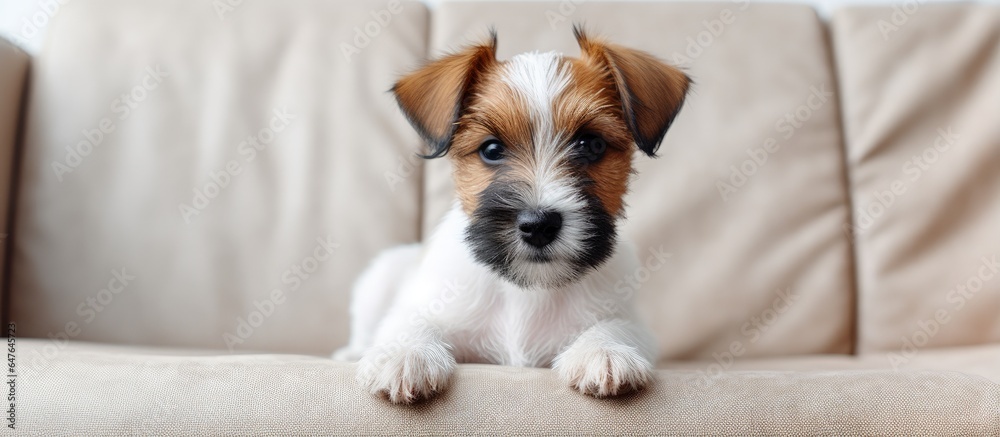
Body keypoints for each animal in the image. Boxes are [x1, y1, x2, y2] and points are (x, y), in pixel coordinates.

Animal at [334, 26, 688, 402]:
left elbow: (615, 327)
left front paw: (604, 351)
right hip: (381, 277)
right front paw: (405, 354)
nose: (539, 226)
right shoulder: (422, 309)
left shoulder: (631, 321)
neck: (528, 290)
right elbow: (412, 323)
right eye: (491, 149)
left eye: (592, 145)